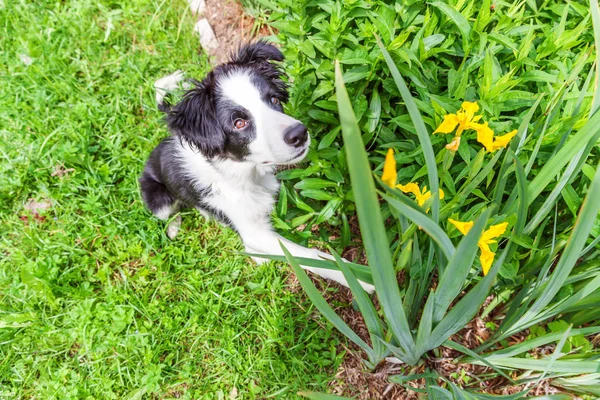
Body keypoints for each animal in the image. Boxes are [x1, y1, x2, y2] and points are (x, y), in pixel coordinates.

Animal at [141, 40, 376, 292]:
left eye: (273, 100)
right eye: (239, 123)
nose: (299, 134)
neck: (245, 174)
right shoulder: (252, 228)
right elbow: (309, 255)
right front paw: (359, 277)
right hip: (159, 200)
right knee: (169, 212)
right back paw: (175, 226)